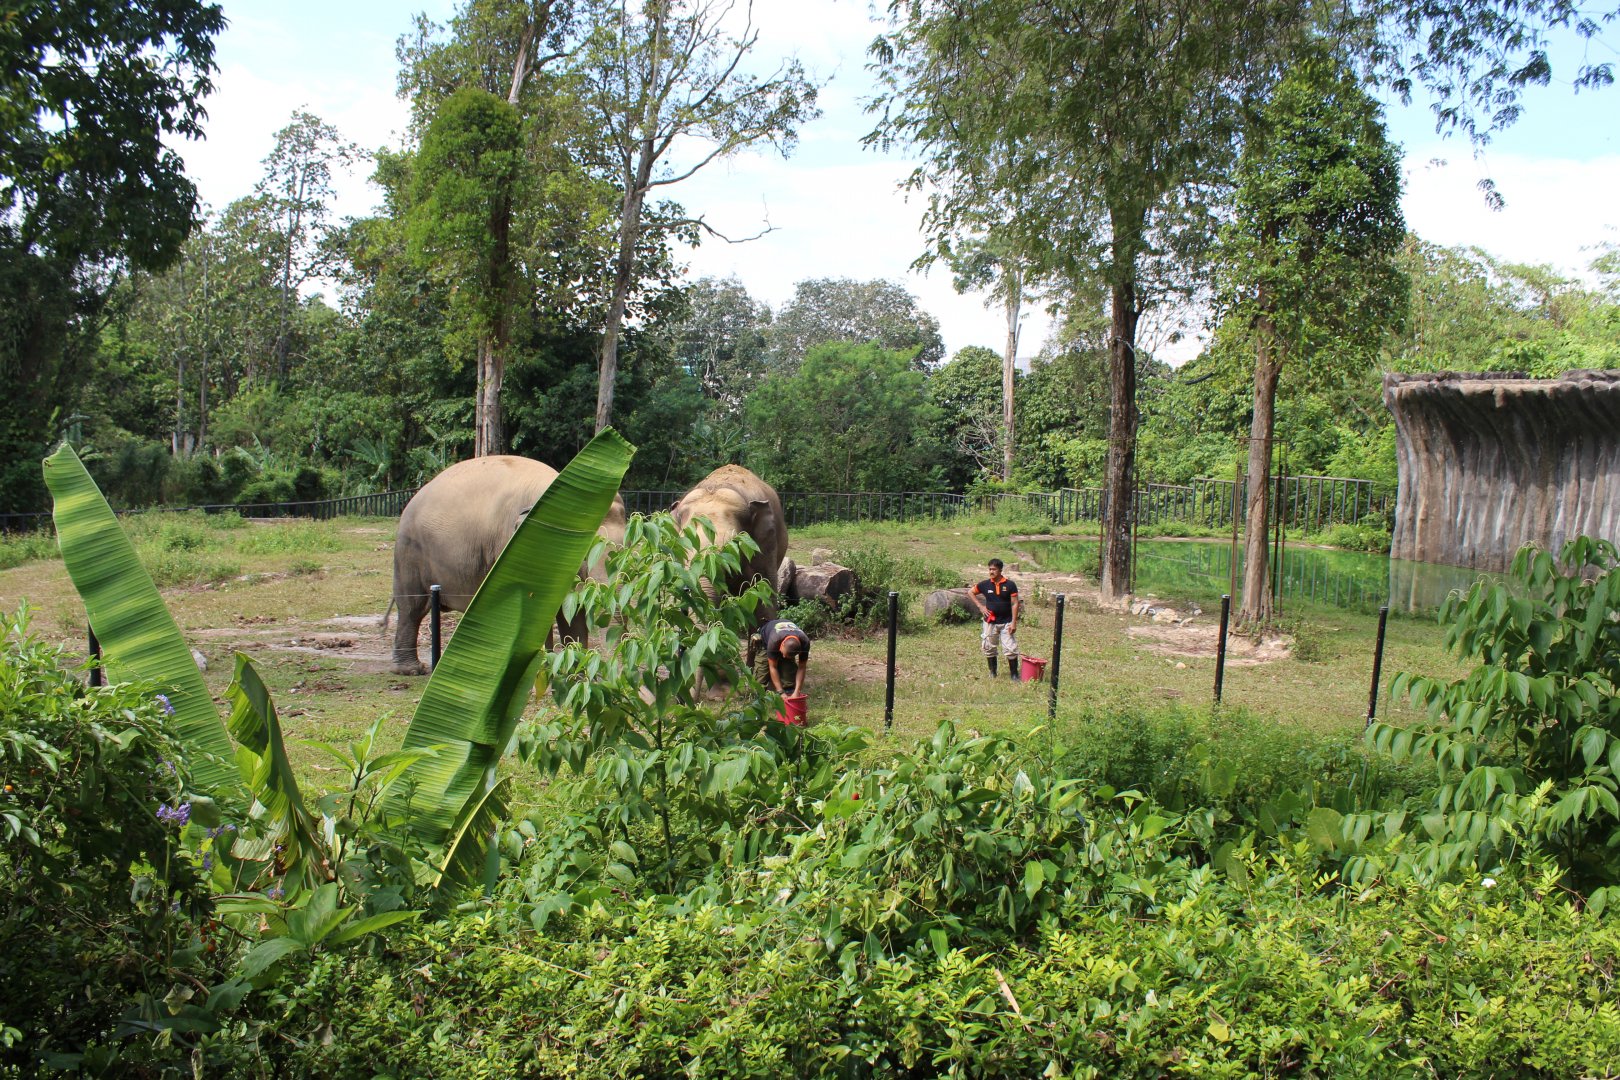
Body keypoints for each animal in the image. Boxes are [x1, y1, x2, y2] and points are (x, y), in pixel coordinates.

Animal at [387, 455, 627, 675]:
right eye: (584, 555)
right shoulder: (512, 546)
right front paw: (539, 672)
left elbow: (571, 611)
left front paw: (574, 674)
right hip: (409, 553)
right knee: (412, 608)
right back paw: (411, 670)